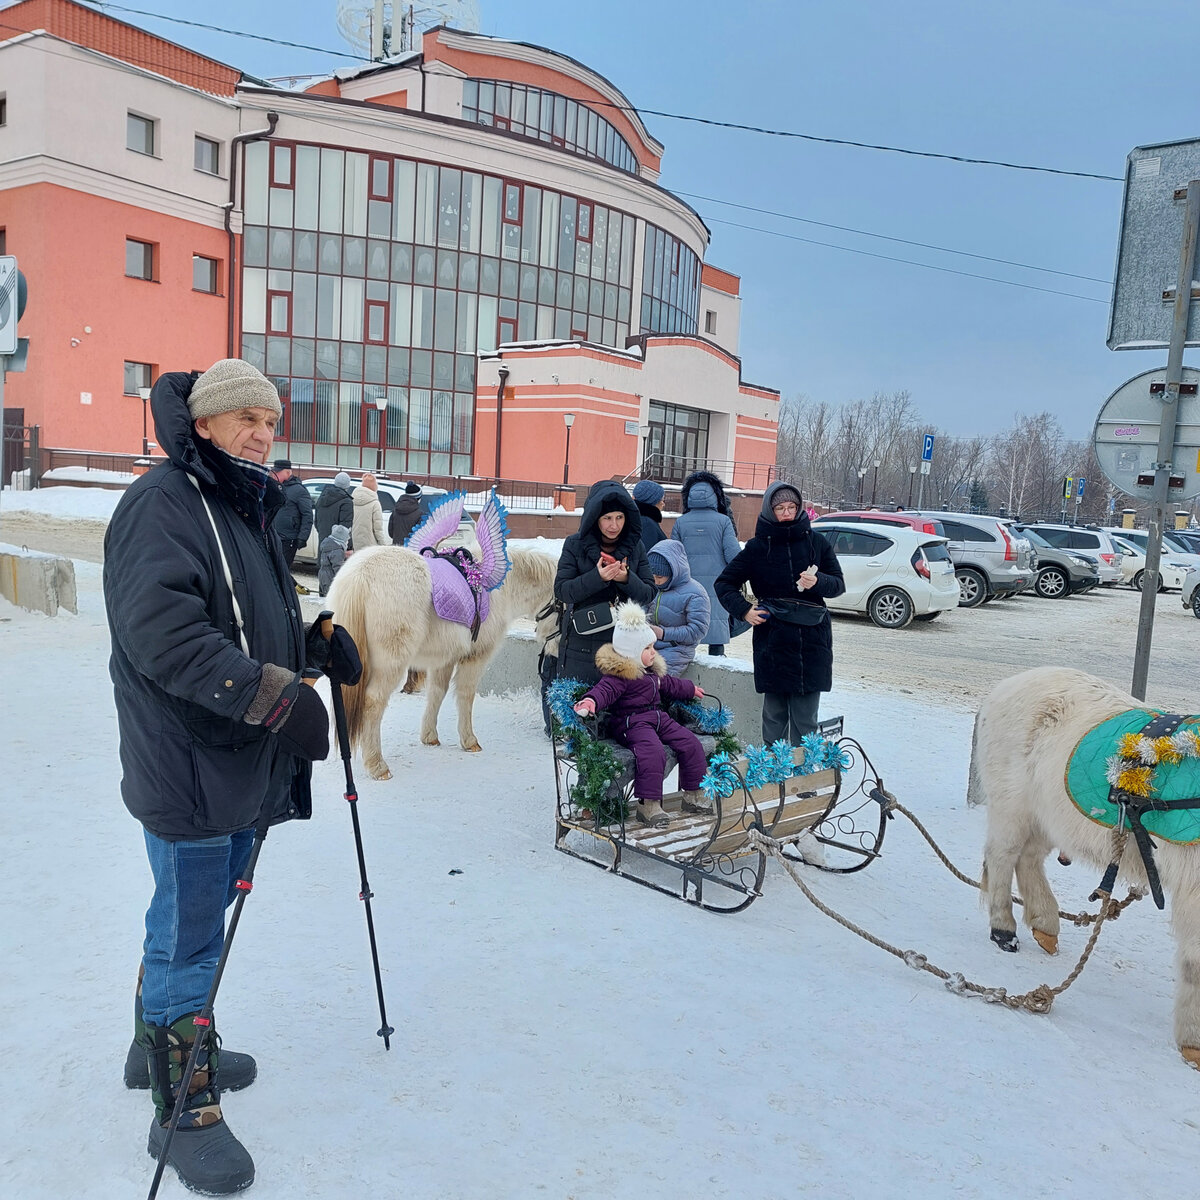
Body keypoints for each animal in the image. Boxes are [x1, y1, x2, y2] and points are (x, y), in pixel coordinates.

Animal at [326, 542, 554, 777]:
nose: (554, 650)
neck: (499, 588)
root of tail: (359, 577)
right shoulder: (475, 658)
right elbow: (465, 695)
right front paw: (469, 741)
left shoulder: (444, 659)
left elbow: (437, 692)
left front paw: (429, 736)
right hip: (390, 665)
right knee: (373, 702)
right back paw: (377, 765)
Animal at [969, 667, 1200, 1070]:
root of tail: (1009, 683)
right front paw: (1193, 1044)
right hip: (1013, 807)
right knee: (1002, 856)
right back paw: (1004, 931)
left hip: (1047, 816)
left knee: (1028, 860)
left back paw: (1044, 925)